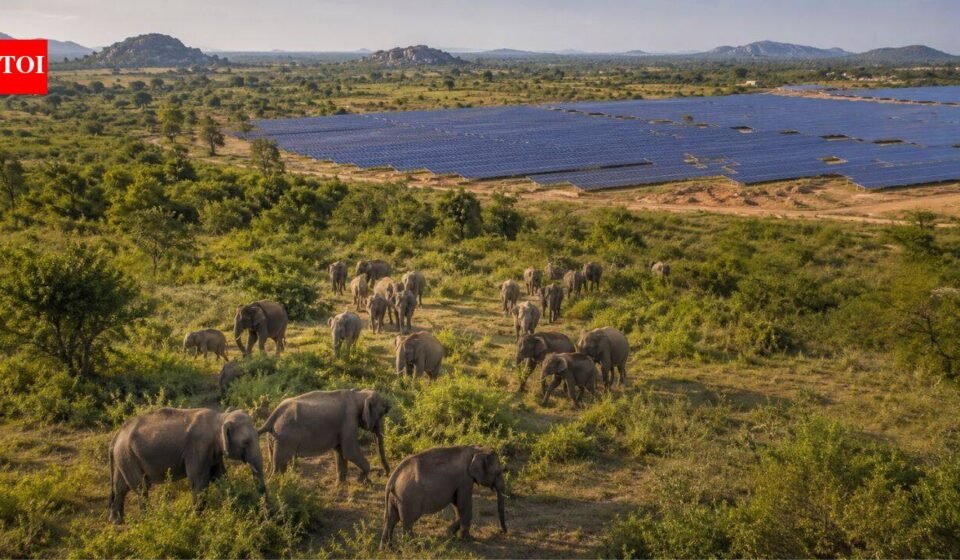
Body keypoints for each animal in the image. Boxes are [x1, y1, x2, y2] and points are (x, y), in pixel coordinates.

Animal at [109, 407, 264, 523]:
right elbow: (199, 482)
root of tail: (117, 435)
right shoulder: (198, 448)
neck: (220, 418)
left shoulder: (212, 453)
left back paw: (117, 522)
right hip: (128, 456)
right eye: (246, 442)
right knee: (141, 488)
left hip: (124, 458)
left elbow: (221, 476)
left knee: (121, 488)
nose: (264, 513)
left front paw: (234, 508)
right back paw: (149, 520)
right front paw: (197, 520)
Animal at [258, 389, 390, 481]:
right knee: (279, 466)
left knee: (275, 463)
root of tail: (273, 415)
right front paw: (361, 480)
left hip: (275, 438)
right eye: (381, 414)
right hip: (285, 437)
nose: (383, 474)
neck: (359, 394)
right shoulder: (349, 420)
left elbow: (340, 452)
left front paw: (341, 485)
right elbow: (349, 451)